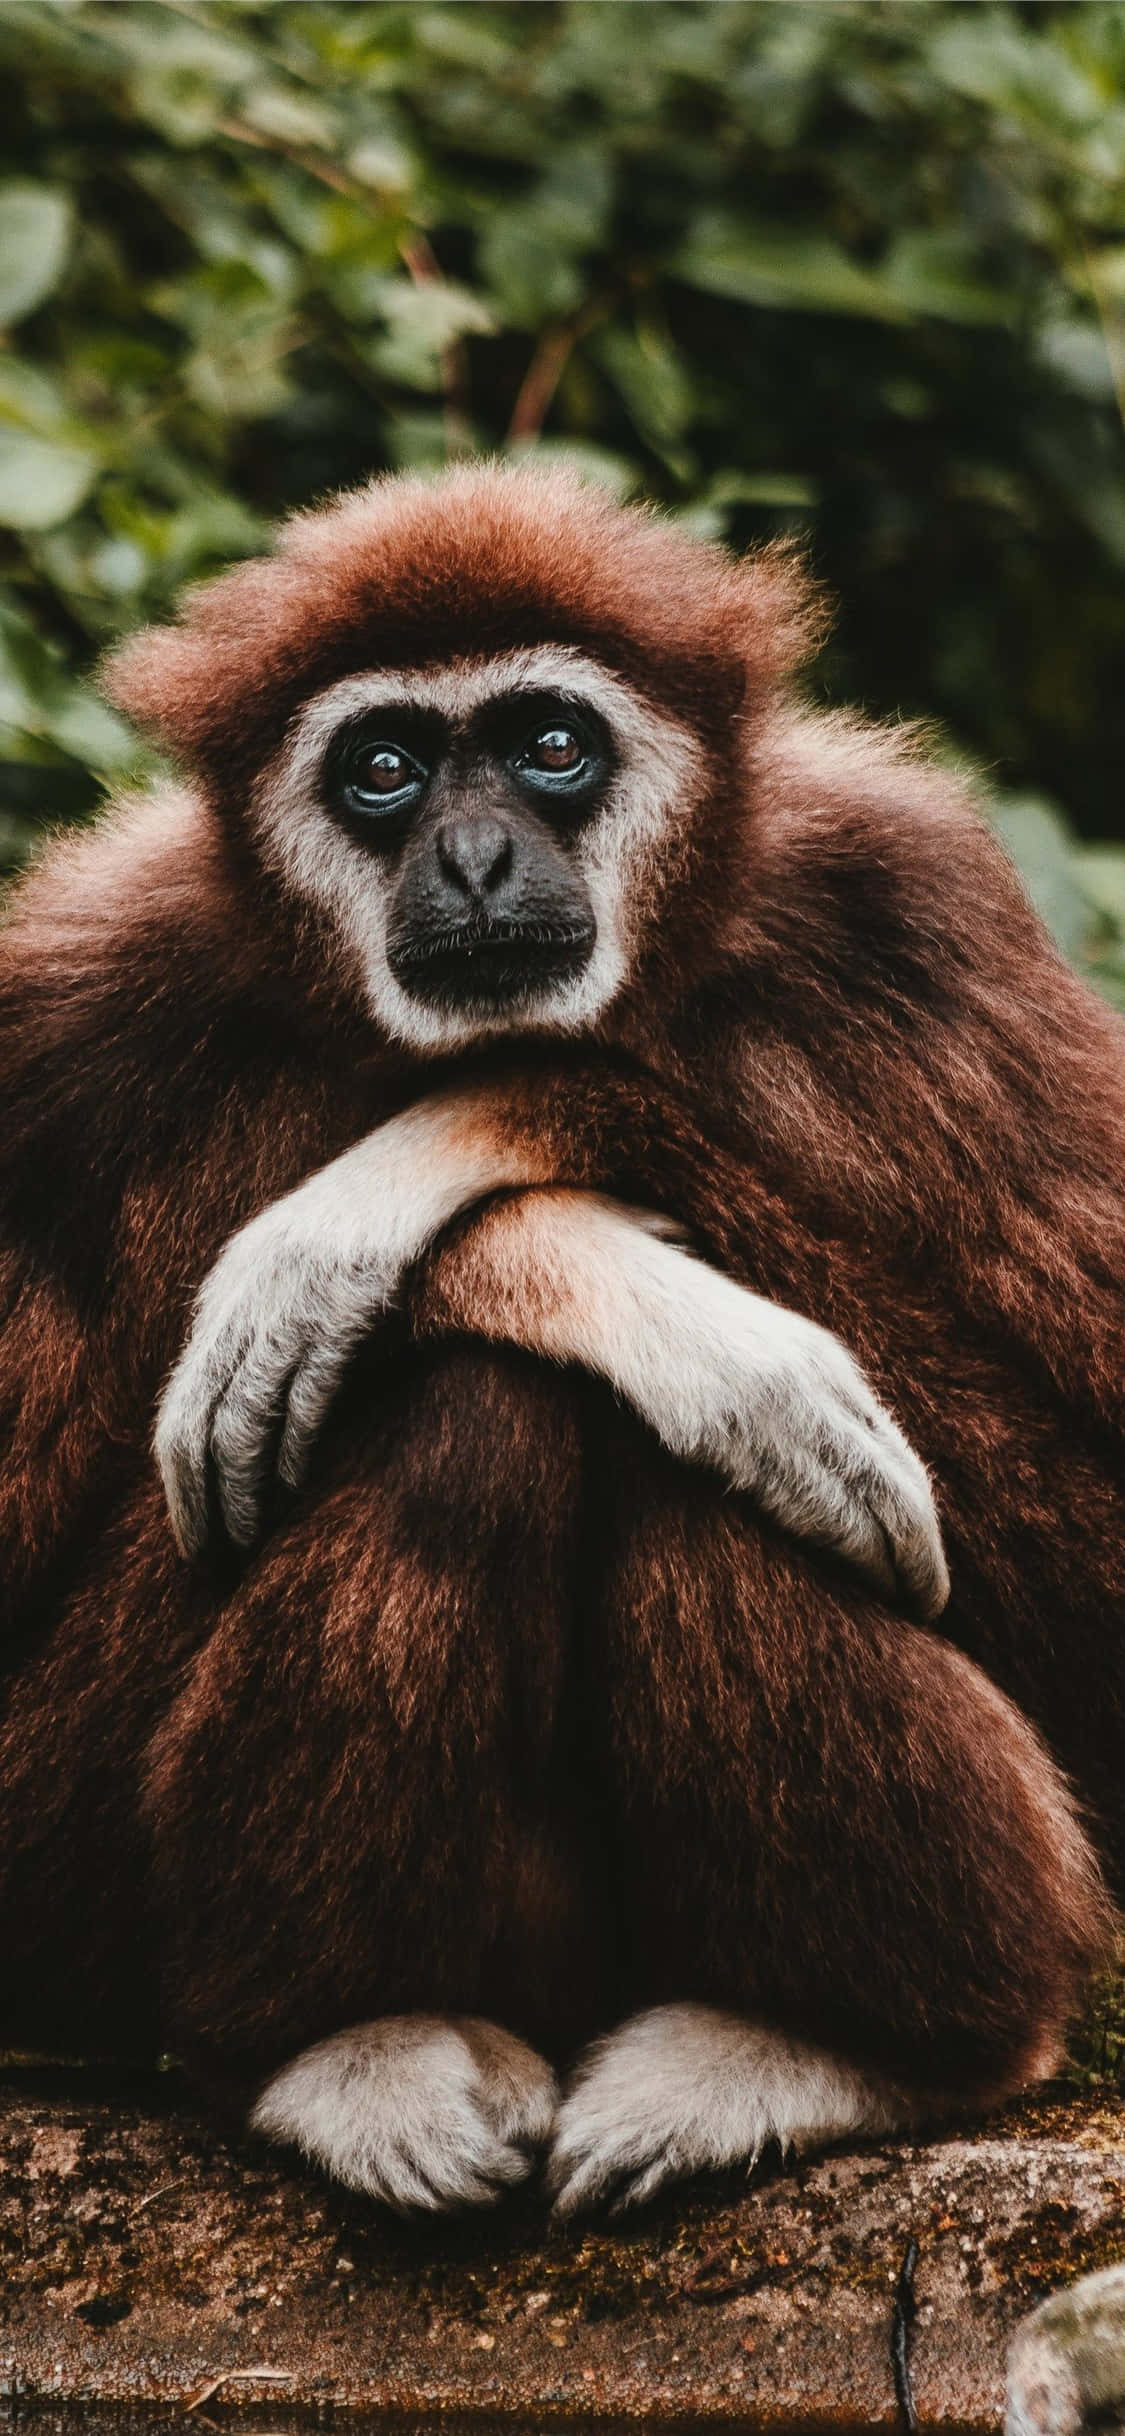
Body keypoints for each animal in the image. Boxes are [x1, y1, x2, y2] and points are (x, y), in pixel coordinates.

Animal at [0, 463, 1119, 2218]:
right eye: (383, 769)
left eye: (548, 745)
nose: (468, 856)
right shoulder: (64, 1008)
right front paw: (560, 1259)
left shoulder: (919, 910)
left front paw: (451, 1153)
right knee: (474, 1406)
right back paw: (349, 2041)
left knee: (722, 1461)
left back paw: (850, 2047)